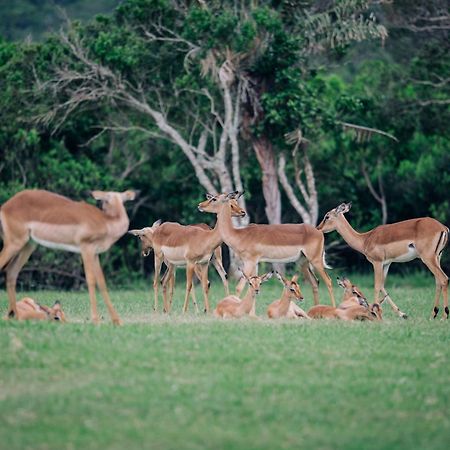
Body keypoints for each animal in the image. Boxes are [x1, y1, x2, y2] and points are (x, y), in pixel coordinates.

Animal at [0, 189, 135, 324]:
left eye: (122, 199)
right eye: (105, 200)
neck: (105, 222)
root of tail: (6, 206)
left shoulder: (95, 253)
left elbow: (101, 282)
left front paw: (117, 321)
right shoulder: (86, 248)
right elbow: (91, 280)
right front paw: (96, 320)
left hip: (29, 245)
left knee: (11, 272)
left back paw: (15, 316)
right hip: (15, 242)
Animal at [199, 190, 336, 310]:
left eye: (214, 199)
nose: (200, 205)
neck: (239, 235)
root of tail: (318, 231)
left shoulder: (250, 262)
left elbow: (239, 287)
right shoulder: (254, 263)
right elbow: (252, 283)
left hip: (315, 260)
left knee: (328, 281)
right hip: (303, 262)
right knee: (315, 282)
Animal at [318, 202, 448, 318]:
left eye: (327, 216)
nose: (318, 228)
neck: (365, 239)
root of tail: (443, 228)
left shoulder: (377, 262)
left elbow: (376, 286)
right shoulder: (387, 263)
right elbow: (382, 286)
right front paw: (402, 314)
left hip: (428, 258)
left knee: (444, 279)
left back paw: (444, 316)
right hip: (437, 258)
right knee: (438, 282)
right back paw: (433, 314)